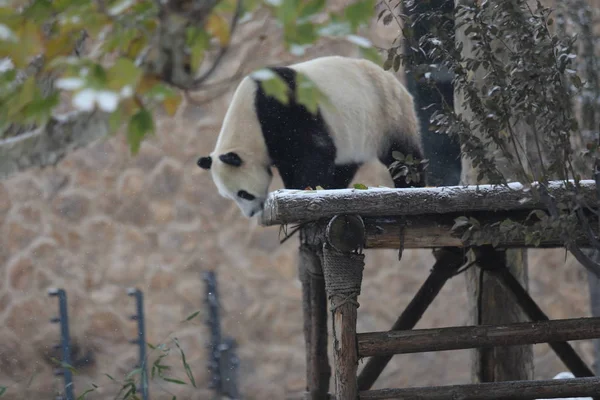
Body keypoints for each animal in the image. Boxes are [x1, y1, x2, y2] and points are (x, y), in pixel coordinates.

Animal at [197, 54, 422, 217]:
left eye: (243, 194)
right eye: (230, 196)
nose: (251, 214)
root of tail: (394, 81)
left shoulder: (286, 110)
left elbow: (316, 150)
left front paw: (307, 188)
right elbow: (289, 162)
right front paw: (295, 187)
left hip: (388, 114)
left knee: (402, 155)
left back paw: (412, 184)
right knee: (345, 165)